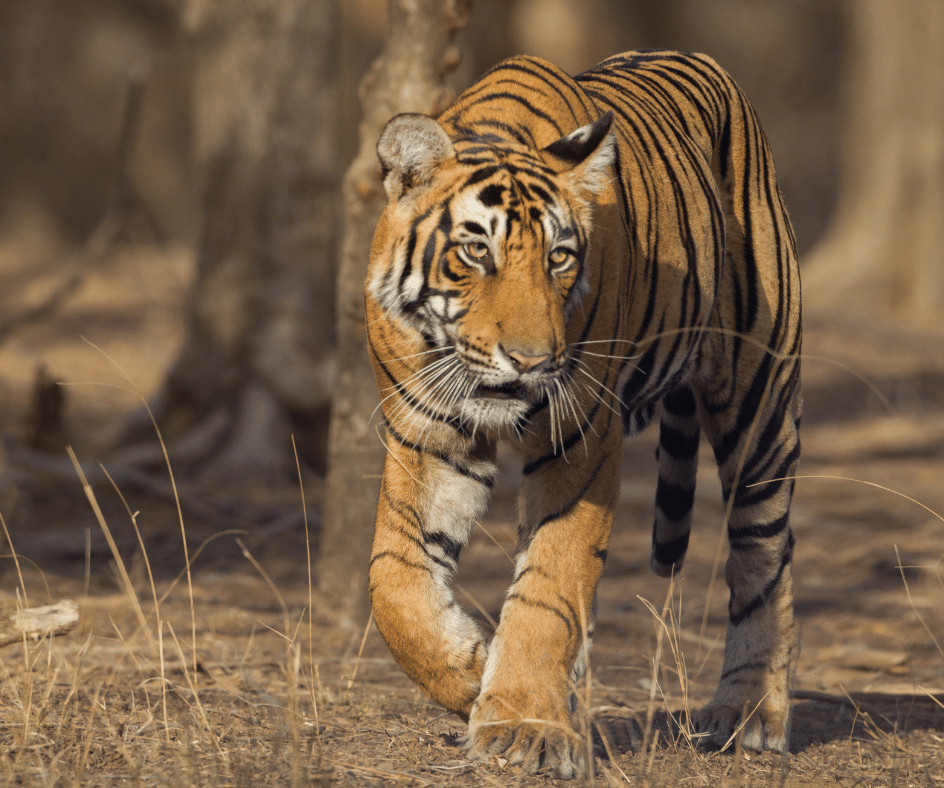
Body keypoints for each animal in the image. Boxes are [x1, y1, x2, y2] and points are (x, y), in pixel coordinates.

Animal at [365, 50, 801, 779]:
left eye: (559, 257)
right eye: (476, 251)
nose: (531, 359)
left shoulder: (581, 442)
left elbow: (549, 585)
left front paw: (523, 724)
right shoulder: (424, 438)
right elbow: (393, 582)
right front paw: (474, 668)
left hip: (760, 396)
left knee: (763, 558)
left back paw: (749, 715)